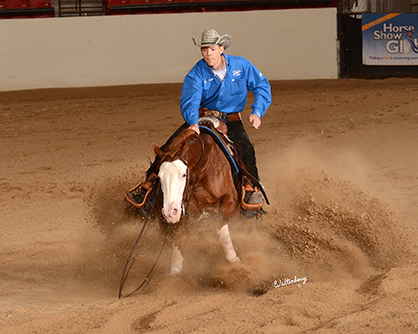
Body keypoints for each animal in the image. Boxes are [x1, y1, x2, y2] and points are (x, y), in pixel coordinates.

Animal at [152, 127, 240, 274]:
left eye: (183, 174)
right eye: (159, 176)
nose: (169, 213)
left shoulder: (231, 199)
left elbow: (220, 227)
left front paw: (233, 258)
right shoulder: (184, 210)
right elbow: (179, 239)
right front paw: (174, 272)